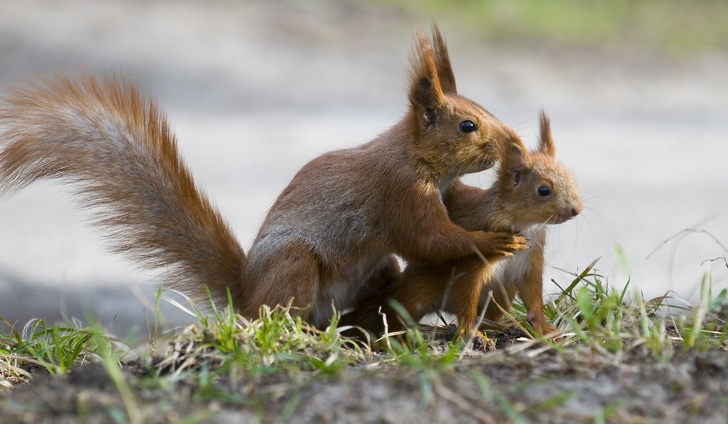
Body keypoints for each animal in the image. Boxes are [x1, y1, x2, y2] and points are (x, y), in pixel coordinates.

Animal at [0, 25, 528, 328]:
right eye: (468, 125)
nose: (512, 144)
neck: (417, 159)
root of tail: (246, 295)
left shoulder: (443, 190)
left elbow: (453, 214)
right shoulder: (398, 192)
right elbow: (429, 239)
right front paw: (493, 242)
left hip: (374, 269)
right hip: (295, 267)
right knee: (279, 316)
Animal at [344, 112, 584, 338]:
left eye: (572, 180)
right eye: (543, 190)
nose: (577, 209)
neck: (525, 225)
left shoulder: (530, 260)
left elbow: (533, 296)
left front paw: (544, 327)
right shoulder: (473, 262)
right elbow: (466, 294)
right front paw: (469, 331)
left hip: (501, 293)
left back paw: (497, 326)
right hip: (419, 291)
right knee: (398, 313)